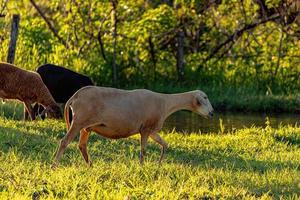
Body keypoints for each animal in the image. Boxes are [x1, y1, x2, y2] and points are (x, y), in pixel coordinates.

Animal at [53, 86, 213, 166]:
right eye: (205, 98)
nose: (212, 113)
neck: (166, 103)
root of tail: (74, 97)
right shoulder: (145, 129)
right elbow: (143, 151)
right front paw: (142, 167)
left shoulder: (152, 130)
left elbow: (165, 145)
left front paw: (158, 165)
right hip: (79, 121)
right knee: (64, 142)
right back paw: (54, 165)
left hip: (87, 126)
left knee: (82, 146)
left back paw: (90, 166)